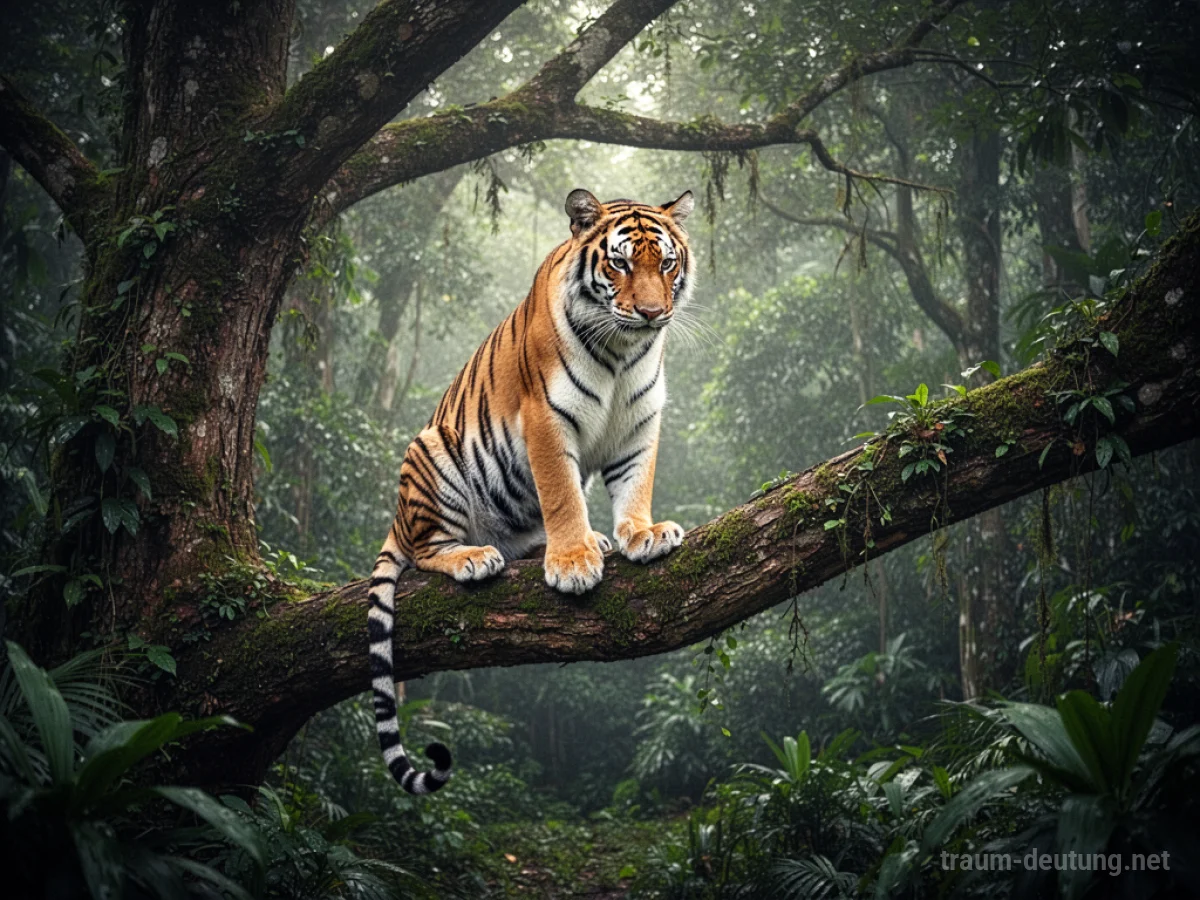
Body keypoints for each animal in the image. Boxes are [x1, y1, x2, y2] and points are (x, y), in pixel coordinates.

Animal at [366, 189, 696, 794]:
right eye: (620, 264)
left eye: (665, 264)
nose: (651, 313)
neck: (623, 351)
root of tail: (397, 517)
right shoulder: (546, 418)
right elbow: (562, 492)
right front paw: (572, 564)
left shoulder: (640, 419)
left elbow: (635, 483)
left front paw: (642, 534)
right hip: (433, 453)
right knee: (426, 551)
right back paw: (474, 557)